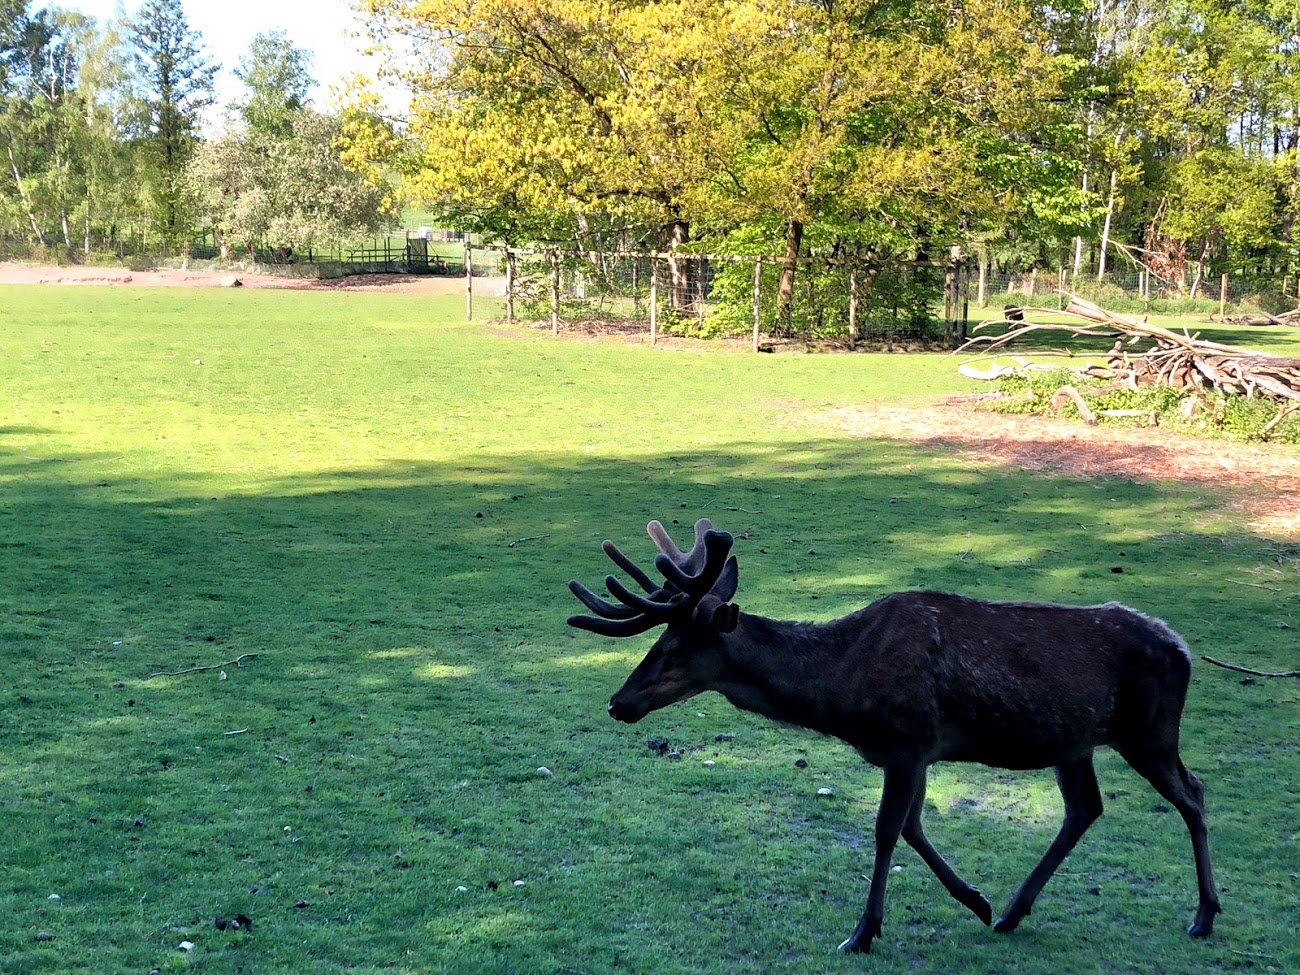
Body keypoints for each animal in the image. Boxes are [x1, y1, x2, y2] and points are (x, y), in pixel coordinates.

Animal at [567, 518, 1220, 953]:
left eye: (675, 649)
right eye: (658, 642)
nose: (619, 703)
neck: (843, 693)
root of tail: (1185, 649)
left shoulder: (906, 740)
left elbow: (886, 831)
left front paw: (861, 932)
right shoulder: (918, 752)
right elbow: (912, 828)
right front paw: (976, 900)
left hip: (1148, 730)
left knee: (1193, 793)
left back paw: (1204, 916)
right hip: (1074, 741)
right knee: (1086, 808)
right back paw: (1012, 912)